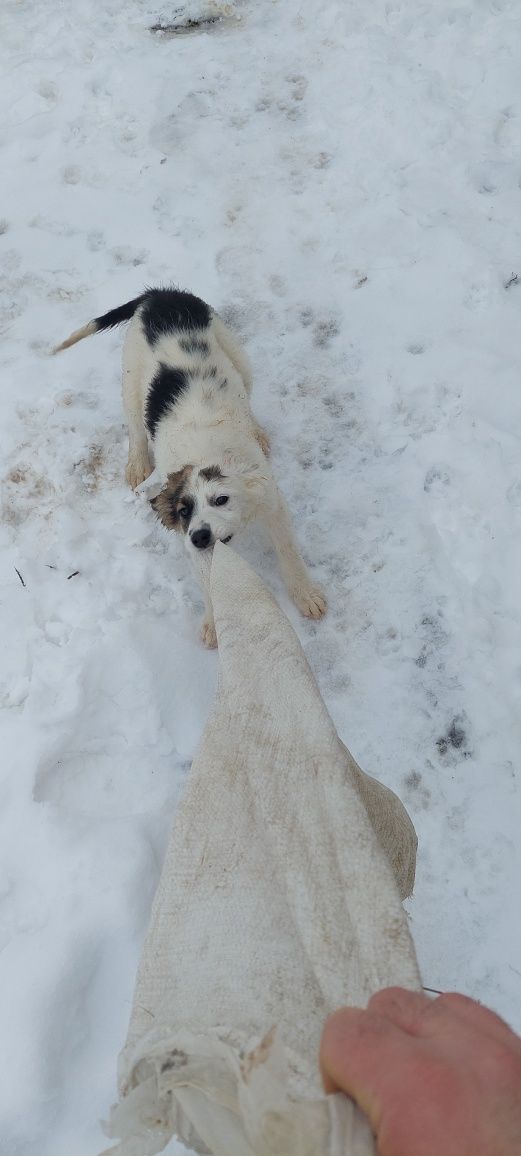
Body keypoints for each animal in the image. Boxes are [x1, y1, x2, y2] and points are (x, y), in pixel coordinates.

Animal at [54, 284, 325, 647]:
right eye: (183, 511)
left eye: (221, 499)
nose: (199, 536)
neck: (204, 455)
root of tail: (161, 293)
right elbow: (208, 580)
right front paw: (213, 622)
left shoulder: (271, 503)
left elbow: (288, 552)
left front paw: (306, 595)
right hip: (131, 376)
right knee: (136, 427)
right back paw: (137, 464)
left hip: (235, 354)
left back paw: (258, 431)